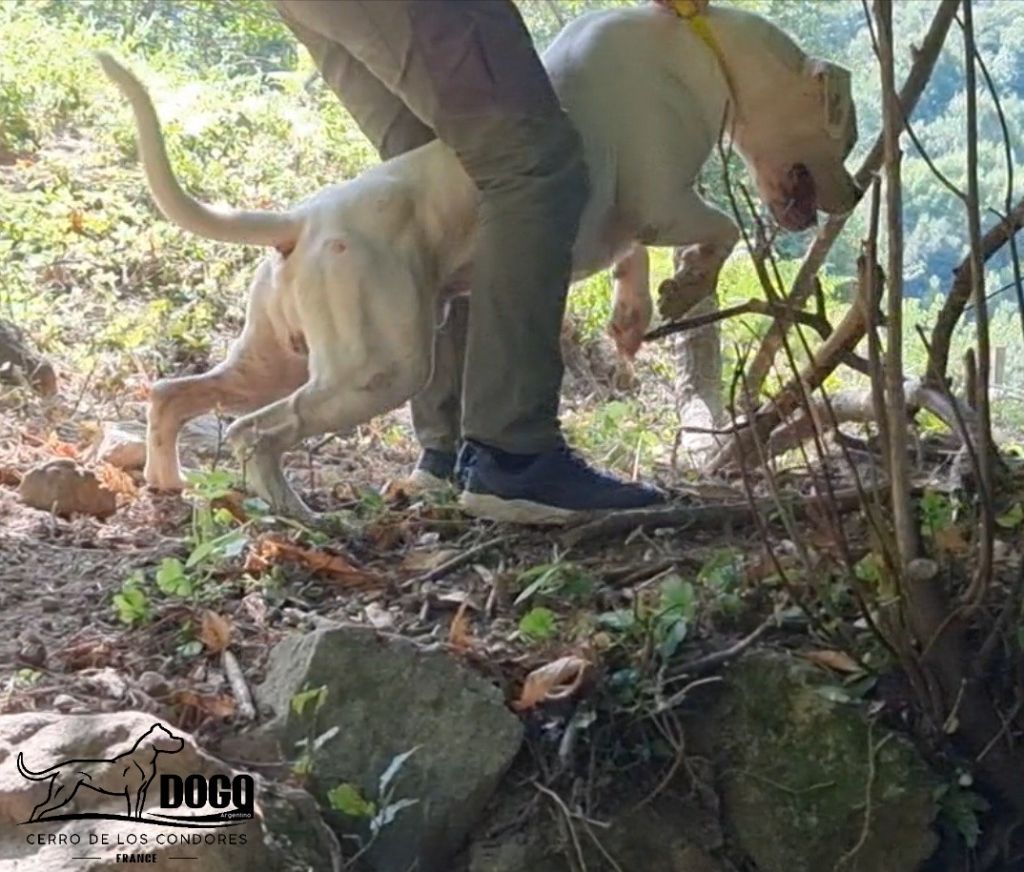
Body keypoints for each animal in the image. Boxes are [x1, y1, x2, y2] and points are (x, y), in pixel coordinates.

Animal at [101, 1, 856, 517]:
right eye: (844, 132)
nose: (854, 194)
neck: (701, 44)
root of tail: (300, 220)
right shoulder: (665, 201)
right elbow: (721, 229)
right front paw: (688, 284)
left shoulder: (632, 220)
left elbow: (632, 261)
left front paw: (634, 317)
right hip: (376, 368)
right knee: (256, 432)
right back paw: (298, 514)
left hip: (277, 358)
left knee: (174, 395)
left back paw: (167, 482)